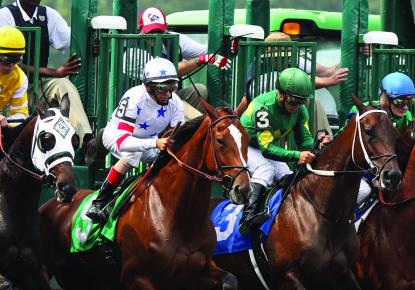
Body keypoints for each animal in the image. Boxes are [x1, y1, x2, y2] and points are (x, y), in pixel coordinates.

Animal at [39, 98, 254, 290]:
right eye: (220, 140)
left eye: (247, 140)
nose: (243, 189)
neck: (177, 216)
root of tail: (55, 202)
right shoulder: (136, 276)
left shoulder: (198, 271)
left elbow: (231, 280)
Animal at [211, 98, 404, 290]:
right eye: (368, 131)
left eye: (395, 134)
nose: (393, 176)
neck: (327, 215)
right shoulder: (287, 275)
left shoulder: (343, 273)